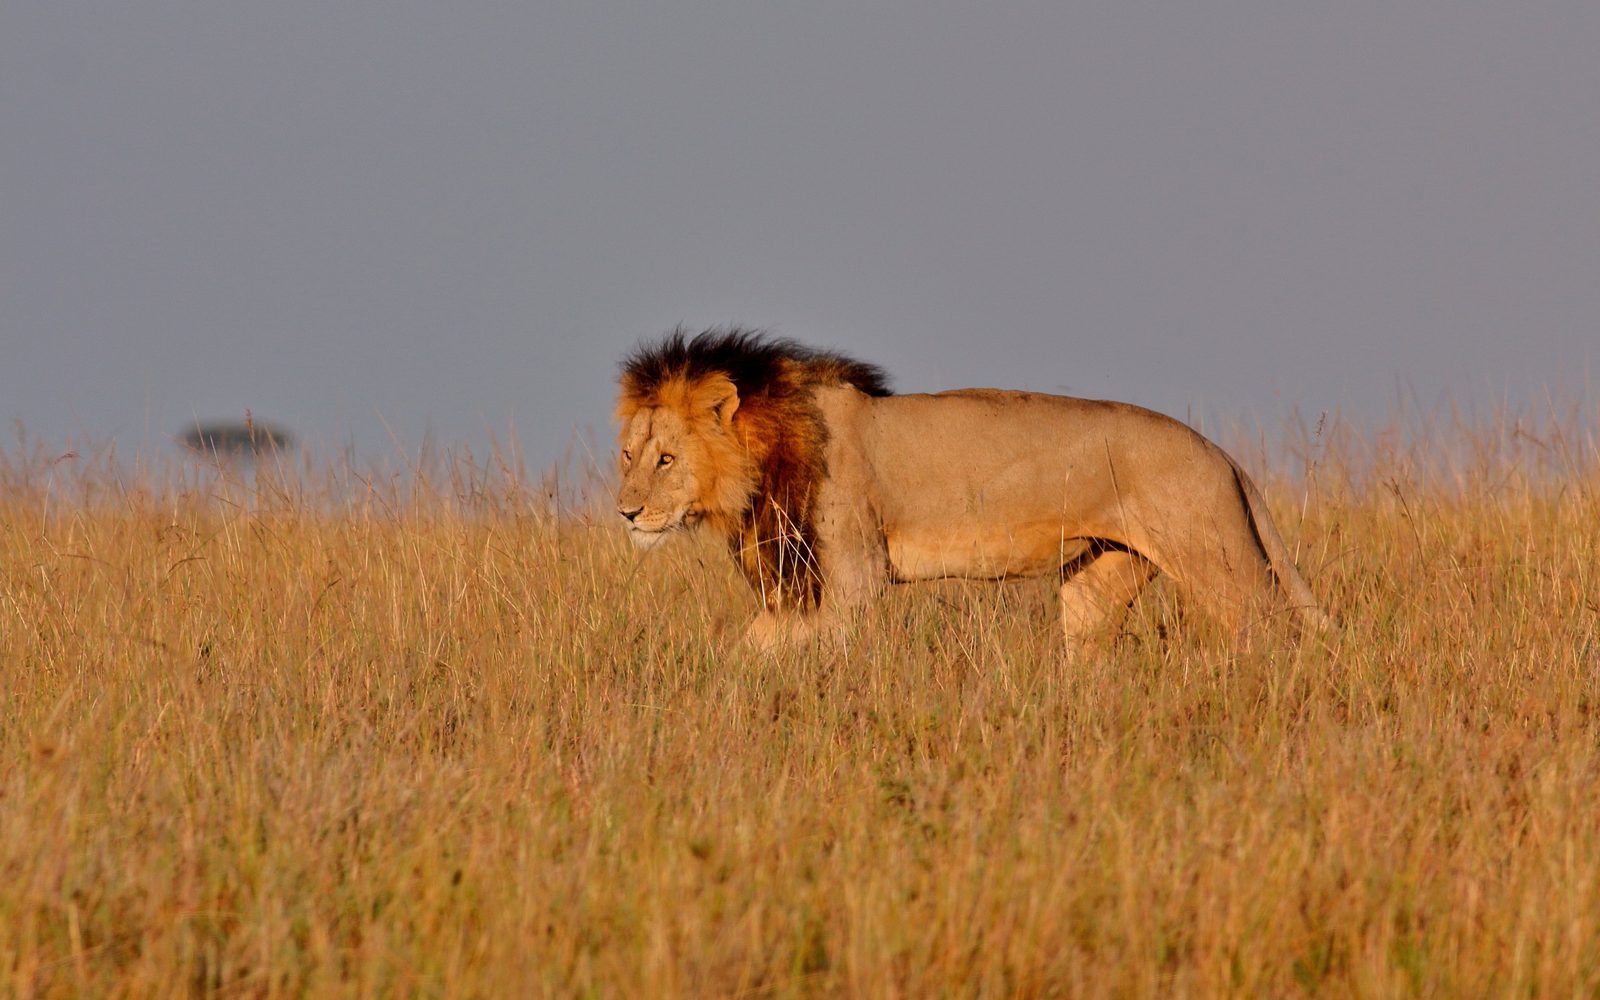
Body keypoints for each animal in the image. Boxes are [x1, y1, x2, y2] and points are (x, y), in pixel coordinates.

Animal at [615, 328, 1332, 653]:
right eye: (628, 454)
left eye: (666, 459)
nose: (626, 512)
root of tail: (1222, 454)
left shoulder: (851, 581)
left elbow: (761, 648)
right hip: (1100, 578)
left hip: (1220, 561)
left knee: (1273, 626)